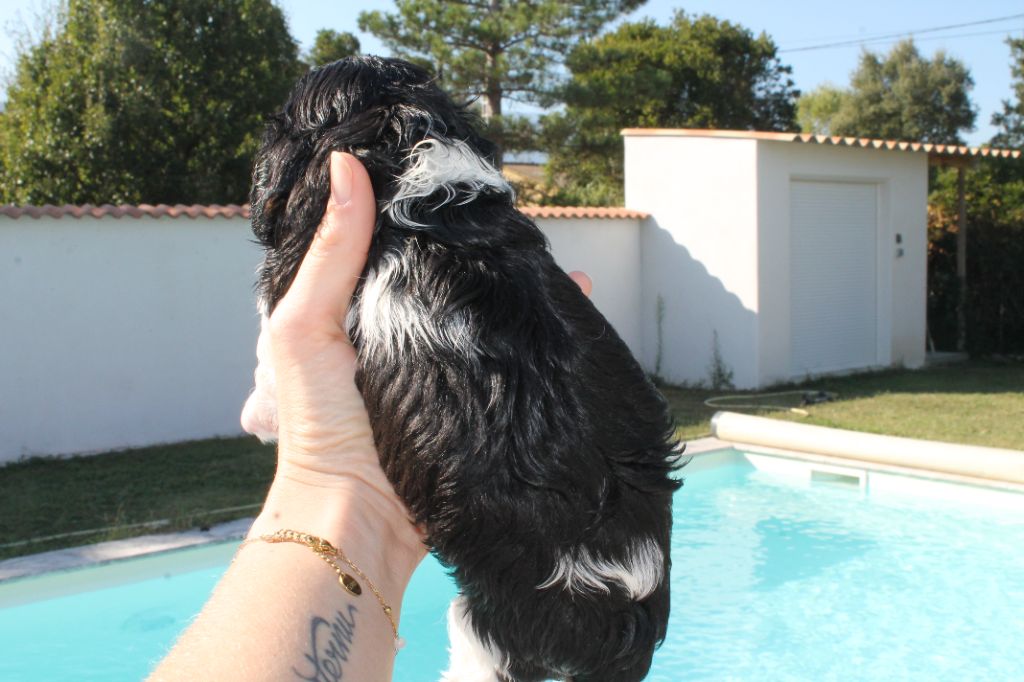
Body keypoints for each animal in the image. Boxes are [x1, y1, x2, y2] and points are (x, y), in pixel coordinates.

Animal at [247, 55, 681, 682]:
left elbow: (266, 351)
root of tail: (628, 605)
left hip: (489, 631)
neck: (402, 141)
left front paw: (260, 416)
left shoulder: (292, 275)